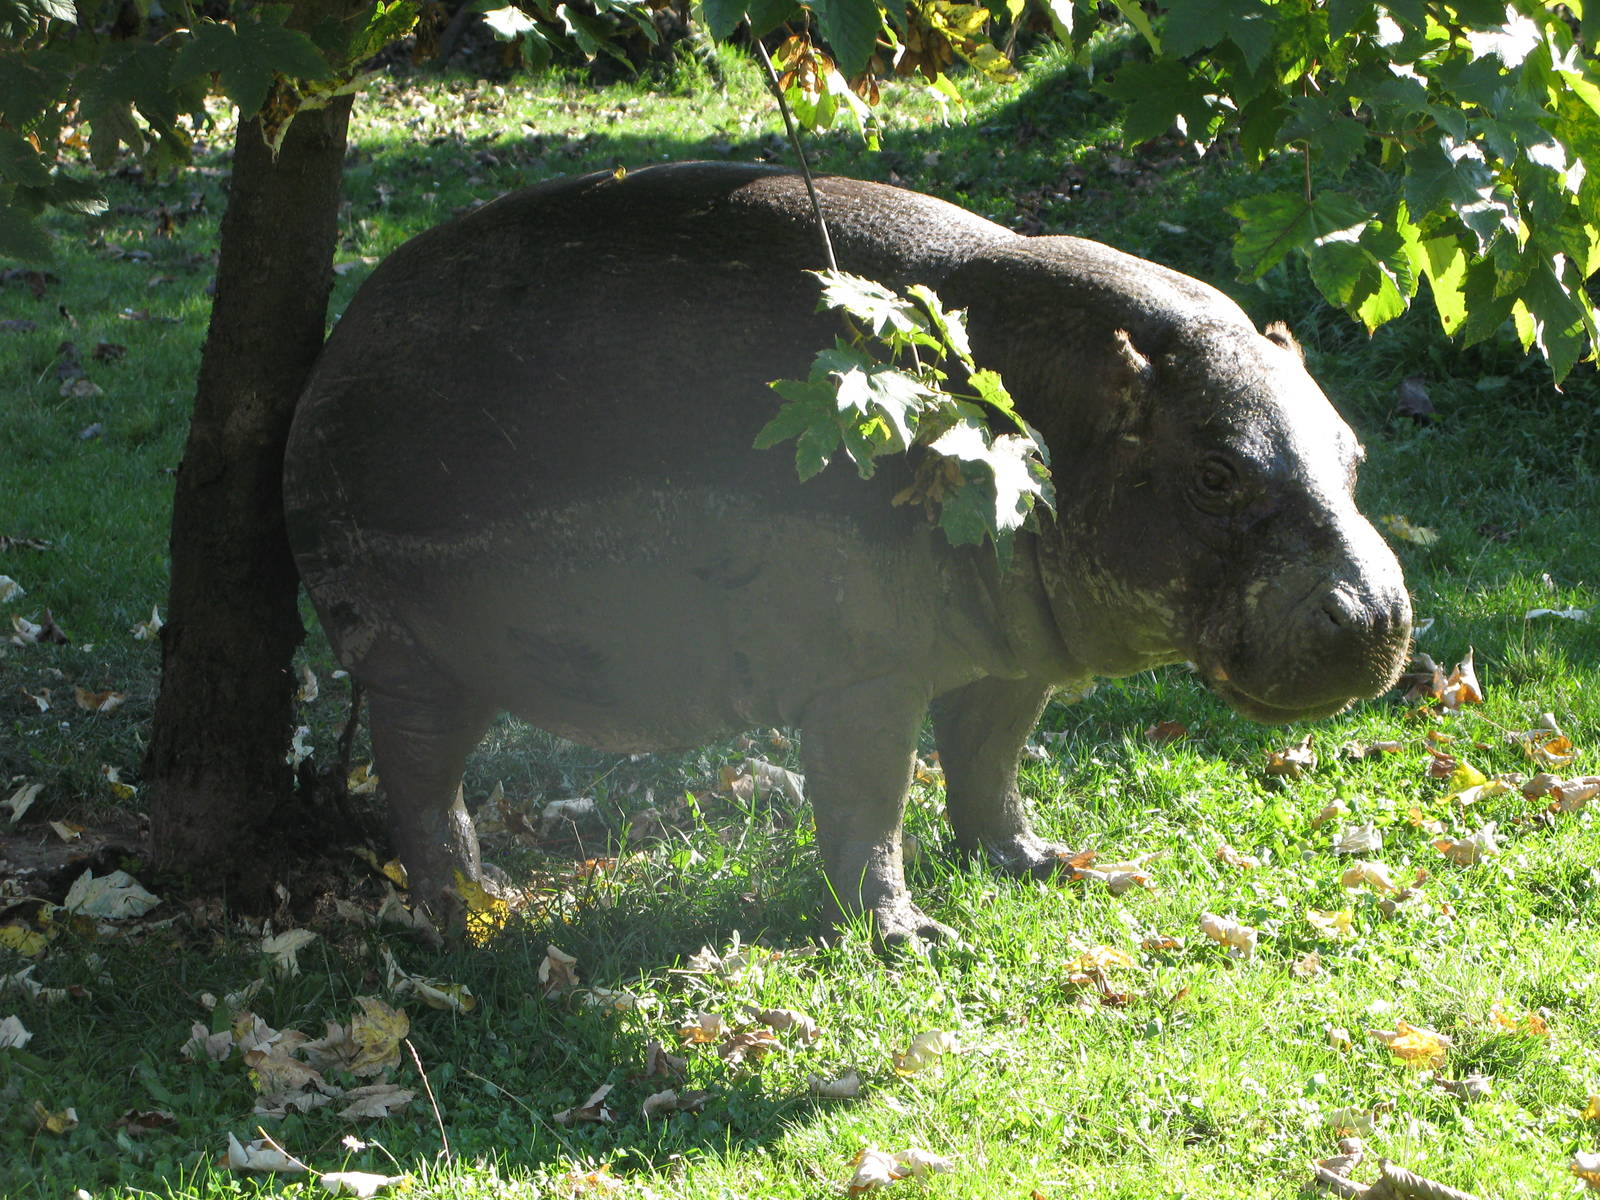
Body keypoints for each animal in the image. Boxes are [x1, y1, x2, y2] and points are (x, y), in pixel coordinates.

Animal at [283, 162, 1411, 945]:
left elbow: (989, 767)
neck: (1045, 414)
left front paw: (1053, 864)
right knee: (421, 780)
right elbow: (871, 805)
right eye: (1215, 470)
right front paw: (914, 940)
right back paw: (478, 911)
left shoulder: (1013, 656)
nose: (1379, 614)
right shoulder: (862, 678)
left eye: (1355, 449)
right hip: (412, 658)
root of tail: (340, 340)